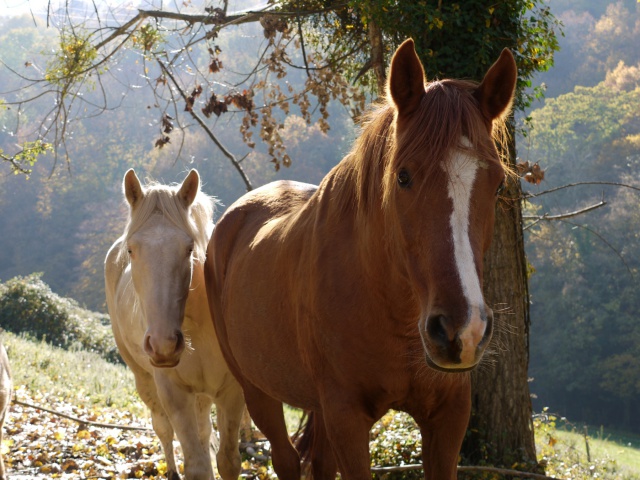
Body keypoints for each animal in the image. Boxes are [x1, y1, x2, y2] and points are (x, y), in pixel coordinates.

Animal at [105, 170, 245, 480]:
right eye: (131, 250)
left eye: (189, 248)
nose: (164, 346)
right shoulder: (174, 393)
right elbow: (197, 465)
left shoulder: (231, 392)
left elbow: (227, 460)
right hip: (145, 381)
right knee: (163, 430)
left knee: (204, 431)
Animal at [208, 40, 516, 480]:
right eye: (403, 176)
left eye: (498, 183)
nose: (462, 331)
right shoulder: (347, 419)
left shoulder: (449, 416)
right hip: (258, 391)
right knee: (284, 459)